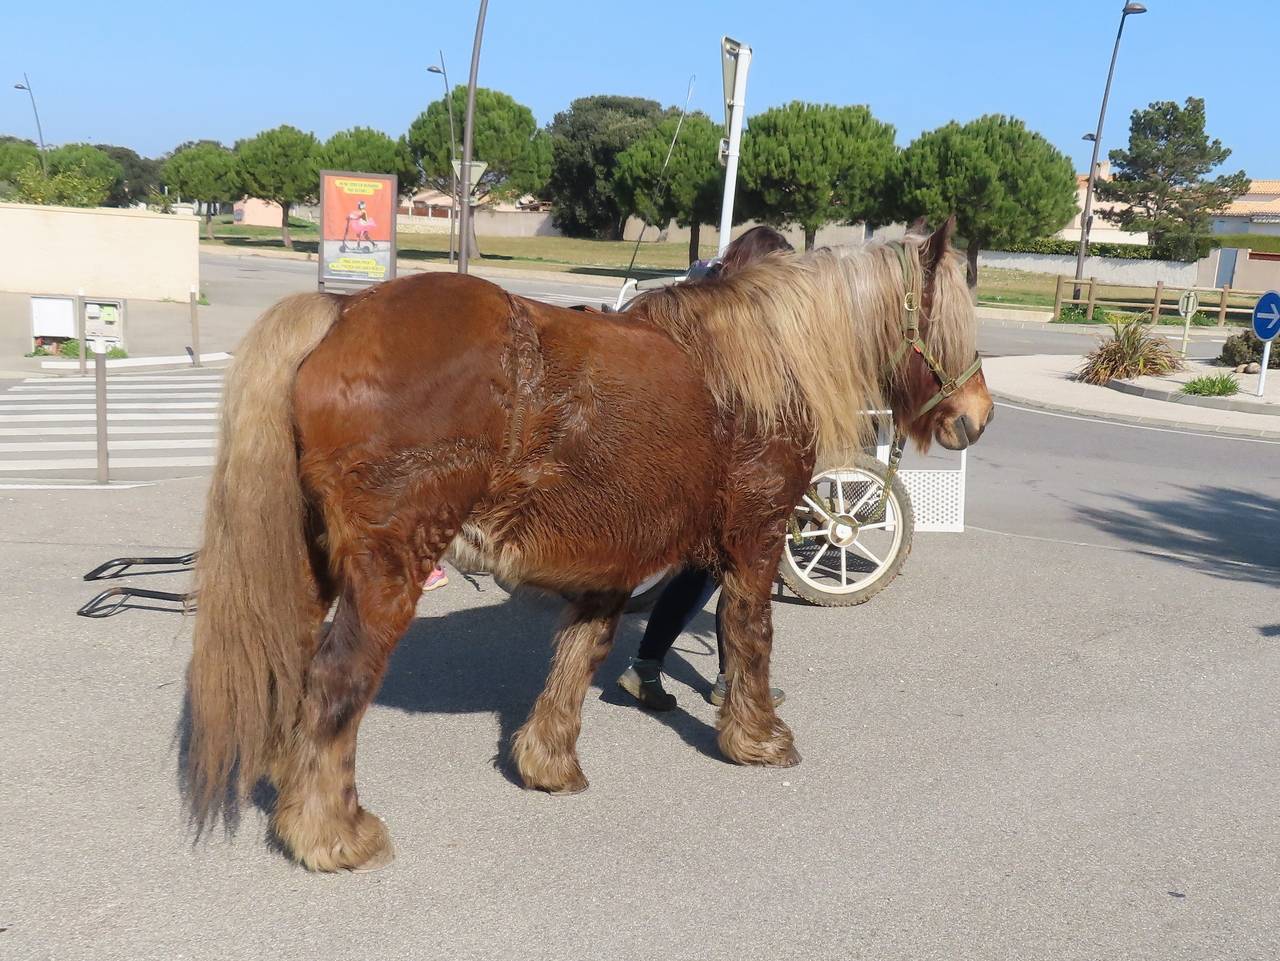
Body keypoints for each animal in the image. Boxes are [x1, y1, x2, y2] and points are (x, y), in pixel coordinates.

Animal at [185, 216, 993, 870]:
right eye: (952, 322)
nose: (976, 417)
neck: (759, 365)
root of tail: (341, 311)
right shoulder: (755, 541)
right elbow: (750, 634)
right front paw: (758, 737)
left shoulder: (615, 558)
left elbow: (583, 651)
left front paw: (548, 761)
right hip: (389, 569)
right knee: (336, 680)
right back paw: (332, 833)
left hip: (314, 563)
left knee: (291, 661)